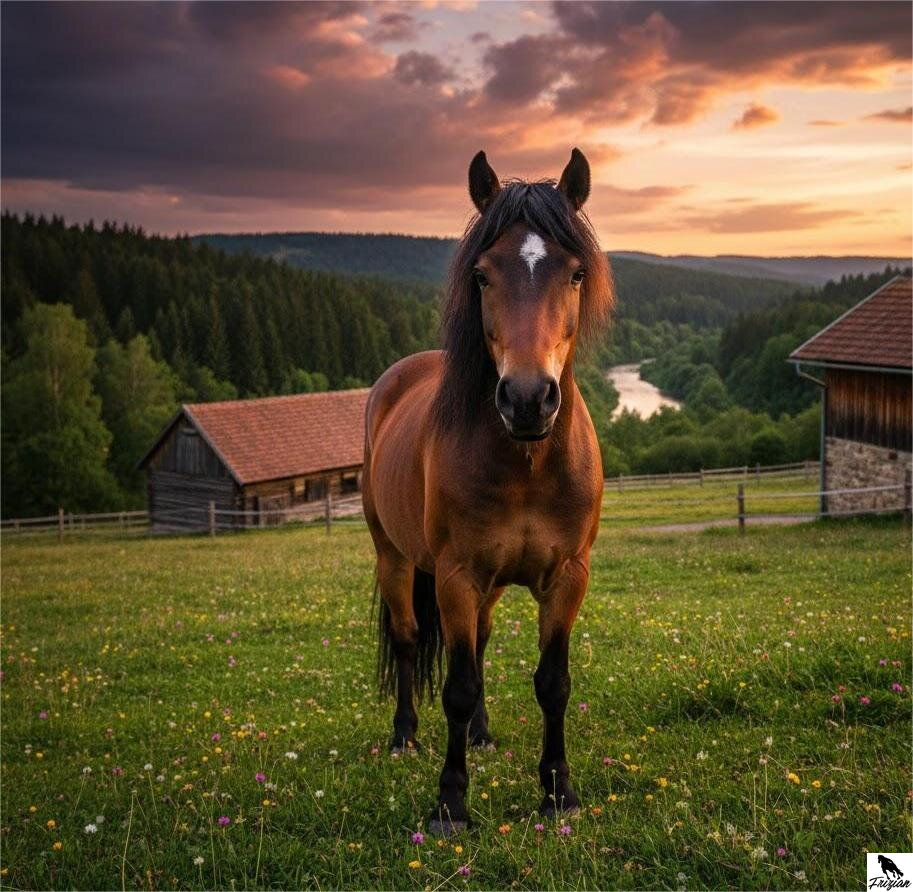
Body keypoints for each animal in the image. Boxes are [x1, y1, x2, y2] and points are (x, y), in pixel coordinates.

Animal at [362, 147, 614, 835]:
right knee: (409, 640)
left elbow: (552, 682)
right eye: (481, 275)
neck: (525, 463)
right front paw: (451, 803)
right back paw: (403, 736)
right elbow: (457, 685)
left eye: (576, 274)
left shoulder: (567, 576)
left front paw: (558, 792)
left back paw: (480, 735)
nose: (527, 398)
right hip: (395, 559)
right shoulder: (455, 575)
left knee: (478, 639)